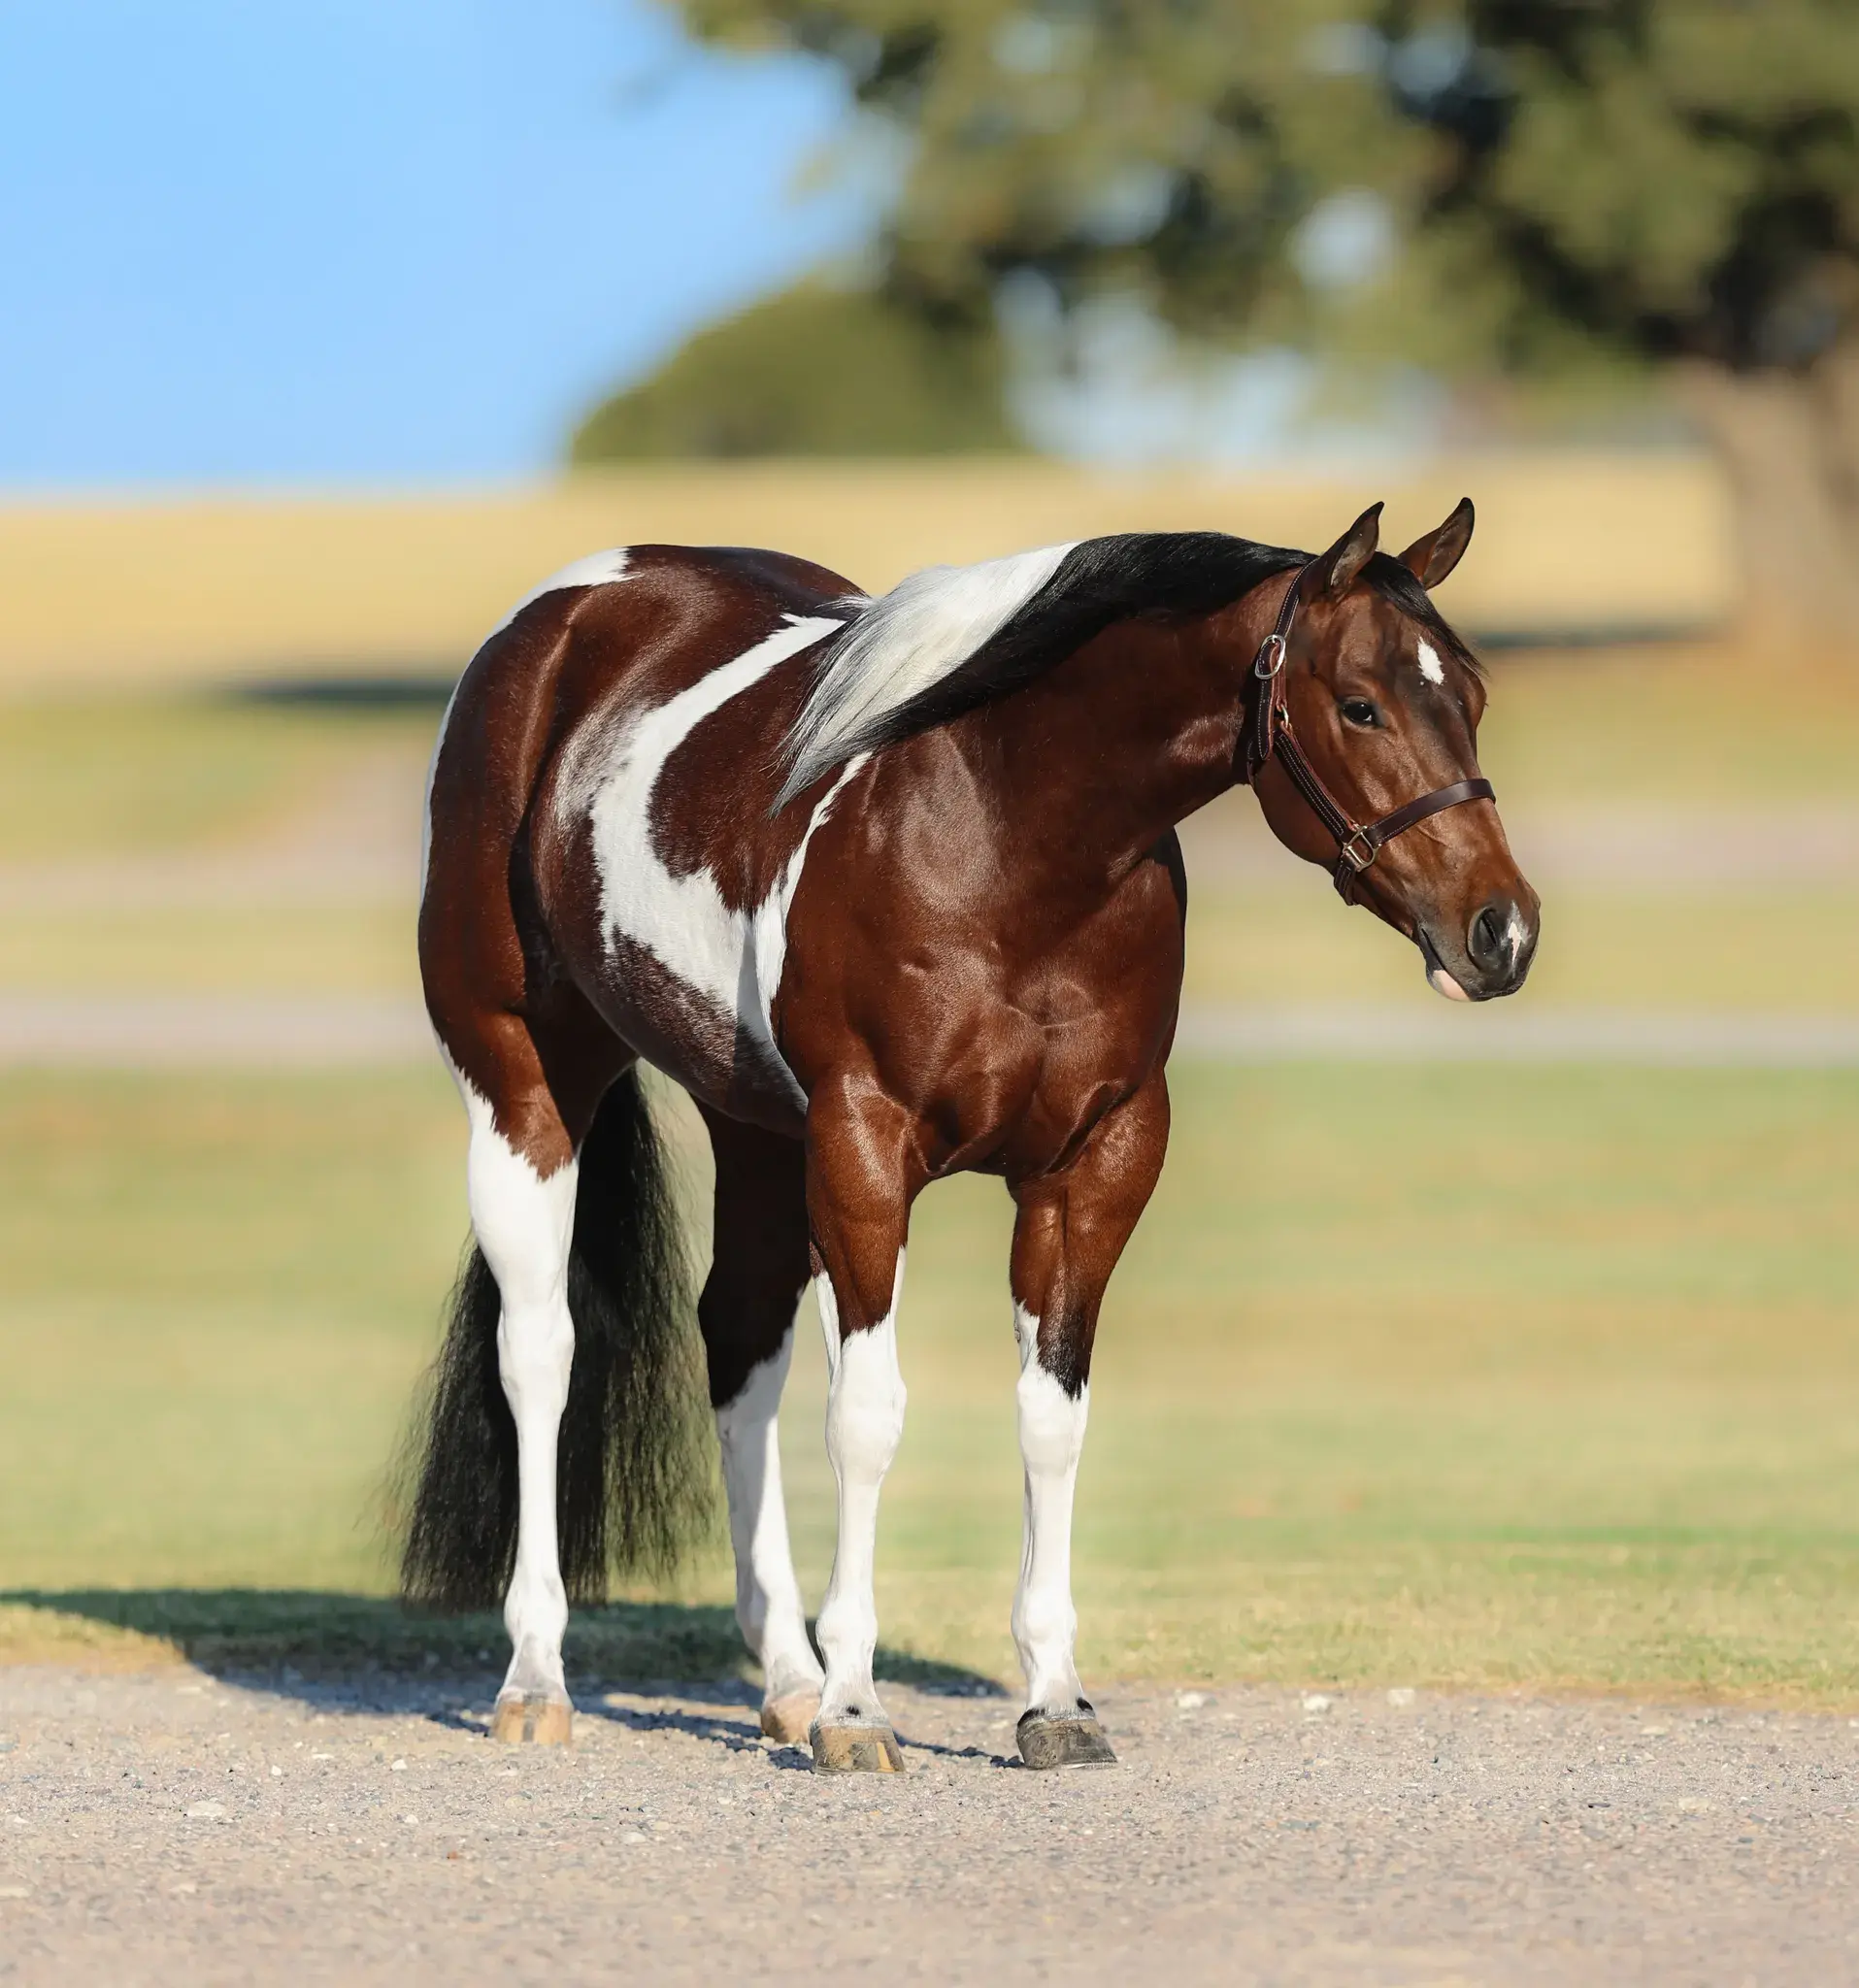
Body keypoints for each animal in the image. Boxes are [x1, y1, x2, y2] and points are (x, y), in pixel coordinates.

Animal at [402, 497, 1539, 1771]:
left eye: (1471, 691)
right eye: (1359, 704)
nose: (1499, 930)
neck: (1003, 835)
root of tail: (563, 619)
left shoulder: (1091, 1163)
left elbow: (1050, 1417)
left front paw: (1051, 1697)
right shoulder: (861, 1148)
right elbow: (866, 1417)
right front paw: (856, 1709)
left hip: (755, 1127)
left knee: (738, 1343)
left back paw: (784, 1676)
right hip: (524, 1085)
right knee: (539, 1353)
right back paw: (538, 1675)